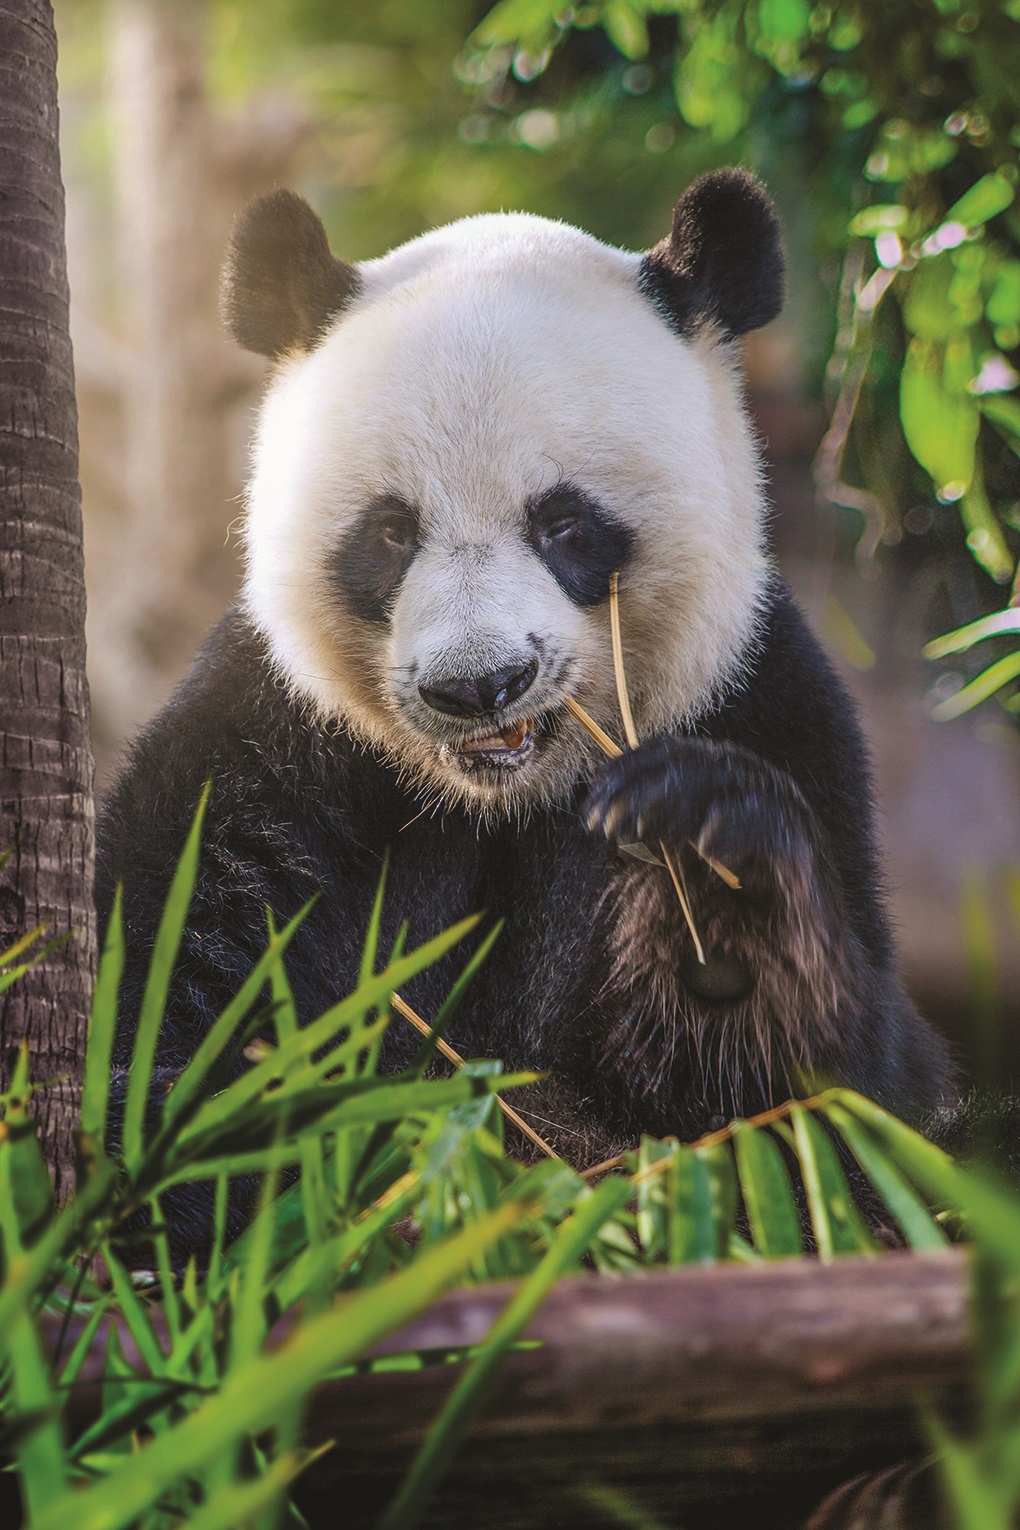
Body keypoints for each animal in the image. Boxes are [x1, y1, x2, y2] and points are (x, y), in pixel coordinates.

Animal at [95, 173, 960, 1211]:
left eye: (564, 522)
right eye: (391, 532)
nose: (478, 685)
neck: (500, 801)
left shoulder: (765, 703)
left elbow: (820, 1120)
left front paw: (710, 849)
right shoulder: (269, 744)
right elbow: (169, 992)